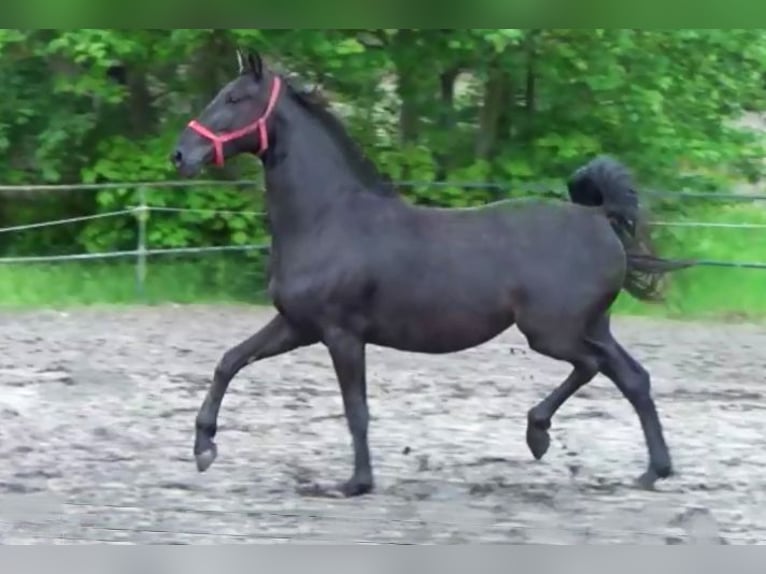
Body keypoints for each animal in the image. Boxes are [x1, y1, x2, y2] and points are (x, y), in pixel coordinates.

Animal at [170, 50, 695, 497]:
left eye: (234, 99)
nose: (181, 155)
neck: (327, 219)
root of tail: (597, 218)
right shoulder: (298, 325)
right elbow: (230, 361)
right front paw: (203, 449)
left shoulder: (341, 334)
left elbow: (356, 409)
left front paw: (356, 483)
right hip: (590, 327)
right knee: (632, 377)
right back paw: (649, 470)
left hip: (552, 332)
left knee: (595, 367)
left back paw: (543, 435)